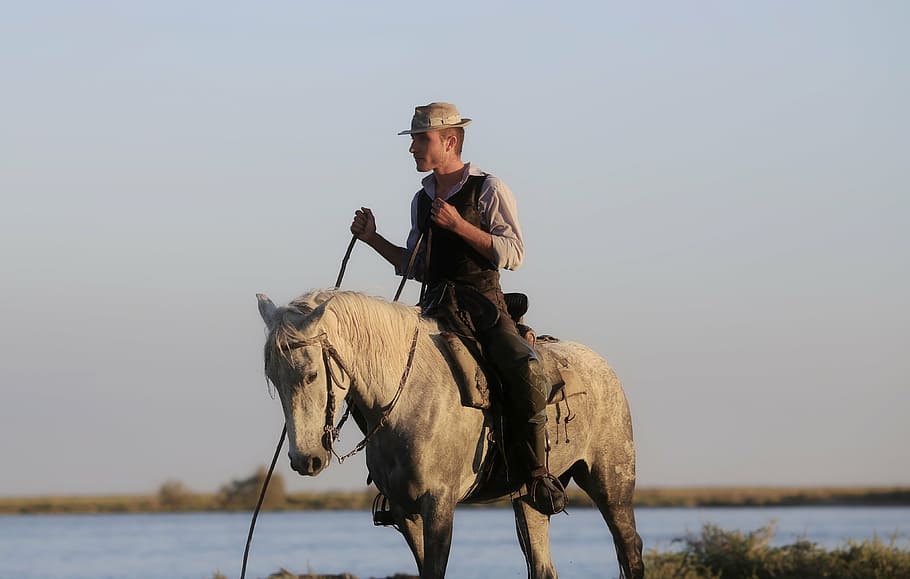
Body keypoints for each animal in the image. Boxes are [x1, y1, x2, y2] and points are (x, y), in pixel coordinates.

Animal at [258, 292, 648, 576]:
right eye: (273, 379)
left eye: (311, 374)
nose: (305, 459)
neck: (407, 394)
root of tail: (601, 366)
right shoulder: (405, 511)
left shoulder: (439, 504)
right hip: (529, 499)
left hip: (610, 483)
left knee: (629, 549)